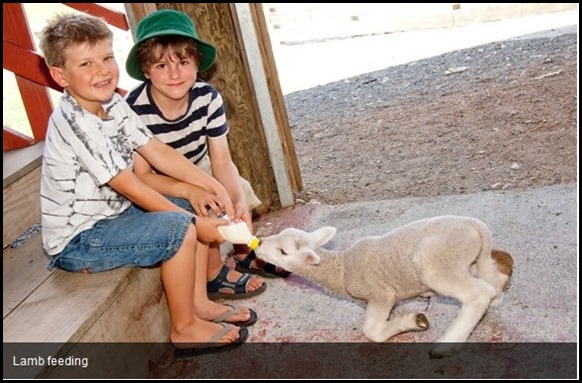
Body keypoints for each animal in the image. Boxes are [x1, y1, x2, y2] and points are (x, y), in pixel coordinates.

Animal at [256, 214, 516, 358]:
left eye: (283, 251)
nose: (258, 243)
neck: (343, 269)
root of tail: (476, 226)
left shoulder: (381, 294)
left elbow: (372, 331)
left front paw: (412, 321)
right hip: (470, 260)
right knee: (491, 279)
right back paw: (497, 297)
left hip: (436, 263)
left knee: (479, 293)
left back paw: (447, 345)